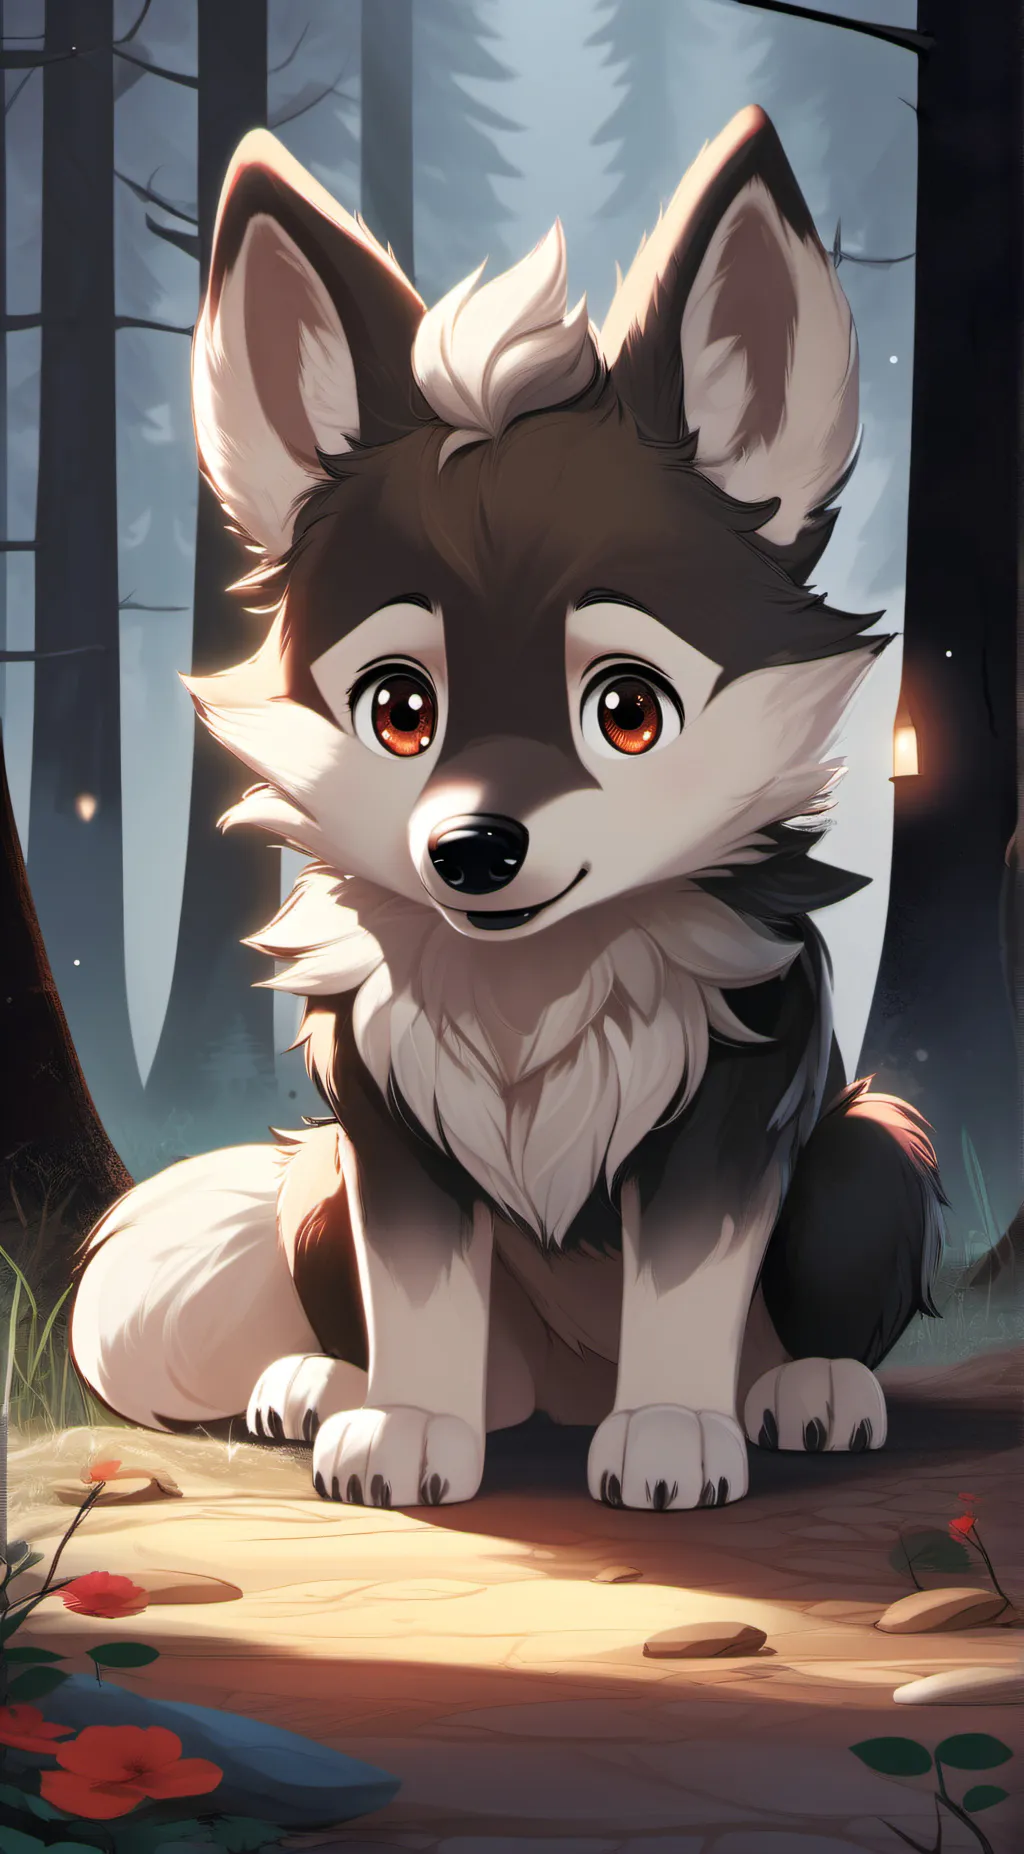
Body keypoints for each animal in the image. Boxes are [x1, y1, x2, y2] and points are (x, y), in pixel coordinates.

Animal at [70, 106, 945, 1511]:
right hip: (316, 1184)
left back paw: (806, 1389)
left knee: (825, 1289)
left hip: (872, 1152)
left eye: (629, 710)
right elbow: (419, 1290)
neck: (528, 987)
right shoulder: (383, 1126)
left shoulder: (732, 1105)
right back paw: (335, 1385)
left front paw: (671, 1428)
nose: (472, 849)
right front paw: (414, 1422)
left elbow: (687, 1281)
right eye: (398, 709)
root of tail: (564, 1384)